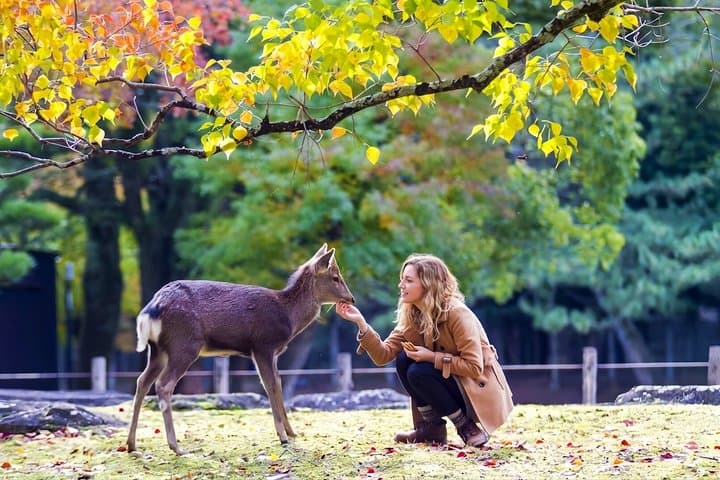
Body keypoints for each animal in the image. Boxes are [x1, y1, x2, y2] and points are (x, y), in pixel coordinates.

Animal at [126, 244, 355, 455]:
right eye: (335, 277)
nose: (351, 298)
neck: (289, 317)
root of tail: (152, 308)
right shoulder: (263, 345)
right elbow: (270, 386)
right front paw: (282, 436)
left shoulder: (273, 353)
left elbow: (279, 384)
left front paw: (292, 432)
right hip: (185, 343)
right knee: (164, 384)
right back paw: (176, 447)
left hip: (158, 350)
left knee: (142, 381)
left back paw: (131, 444)